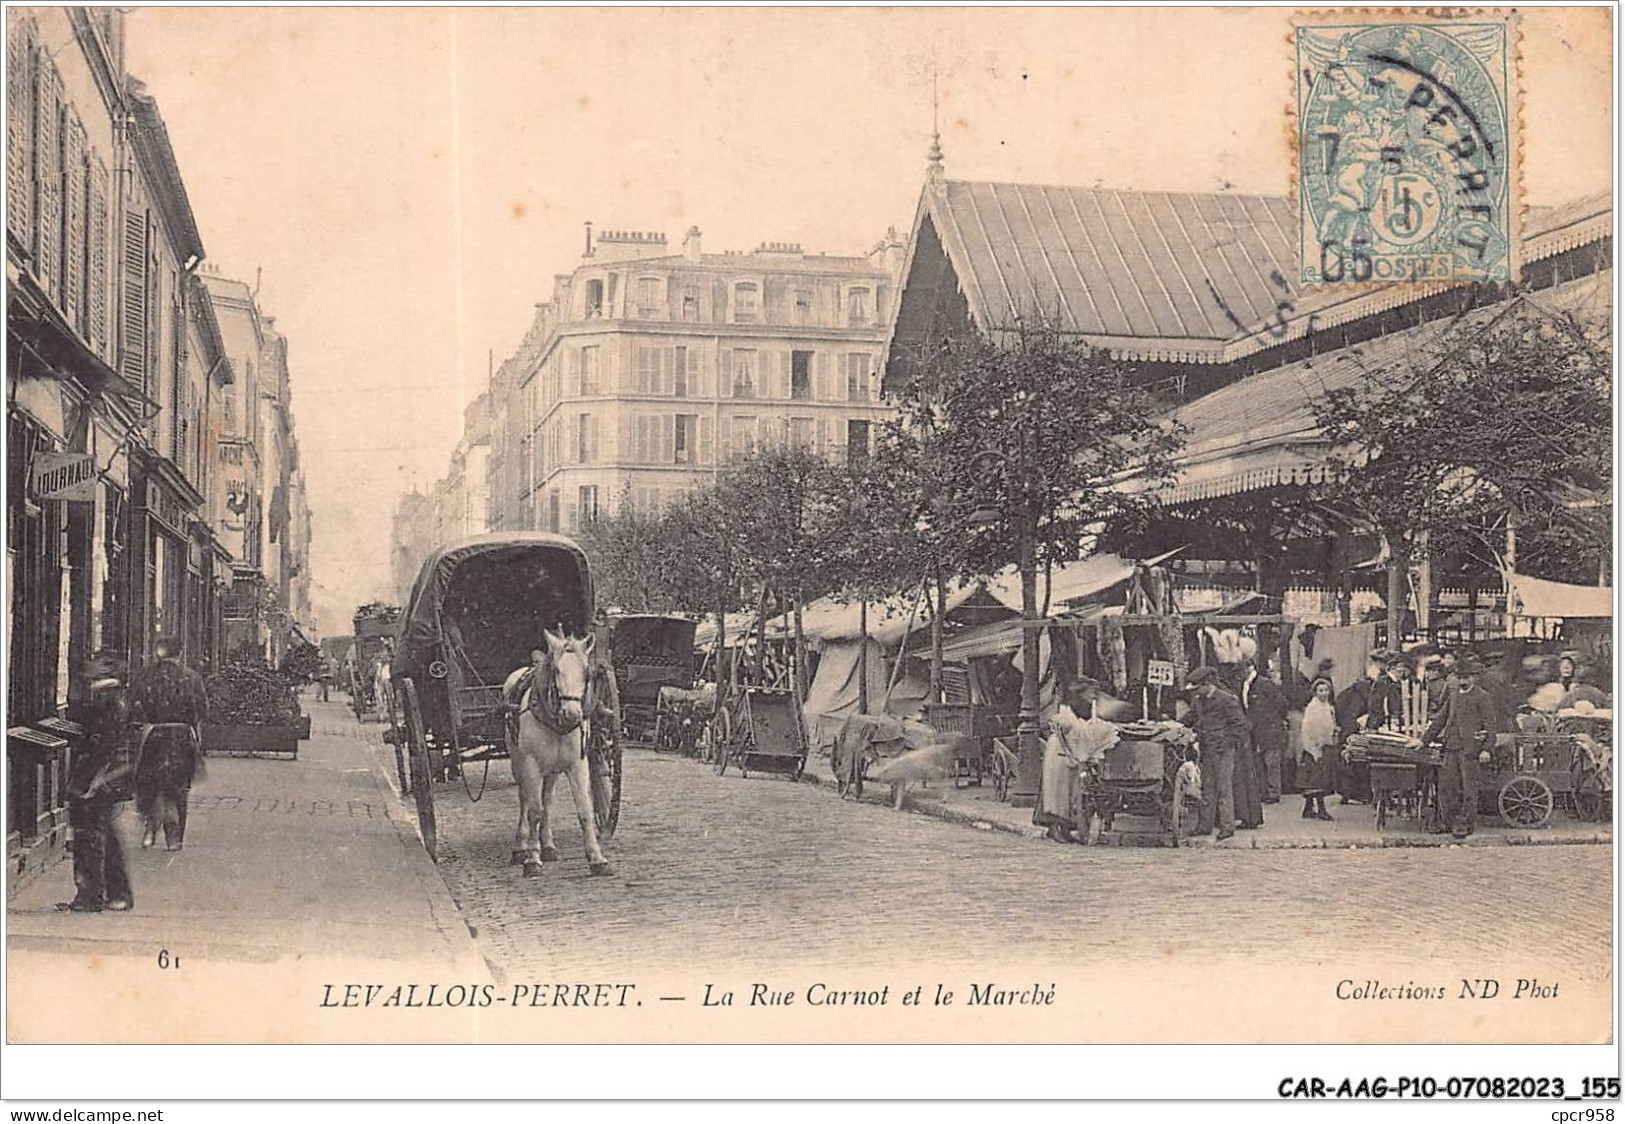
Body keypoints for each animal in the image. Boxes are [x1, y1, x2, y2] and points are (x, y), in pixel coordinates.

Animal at [500, 633, 611, 877]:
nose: (572, 714)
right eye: (557, 670)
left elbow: (584, 810)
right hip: (518, 761)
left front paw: (597, 858)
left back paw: (548, 846)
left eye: (586, 672)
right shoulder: (531, 765)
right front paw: (532, 859)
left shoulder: (578, 765)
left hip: (552, 770)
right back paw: (520, 847)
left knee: (547, 801)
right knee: (525, 799)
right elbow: (534, 811)